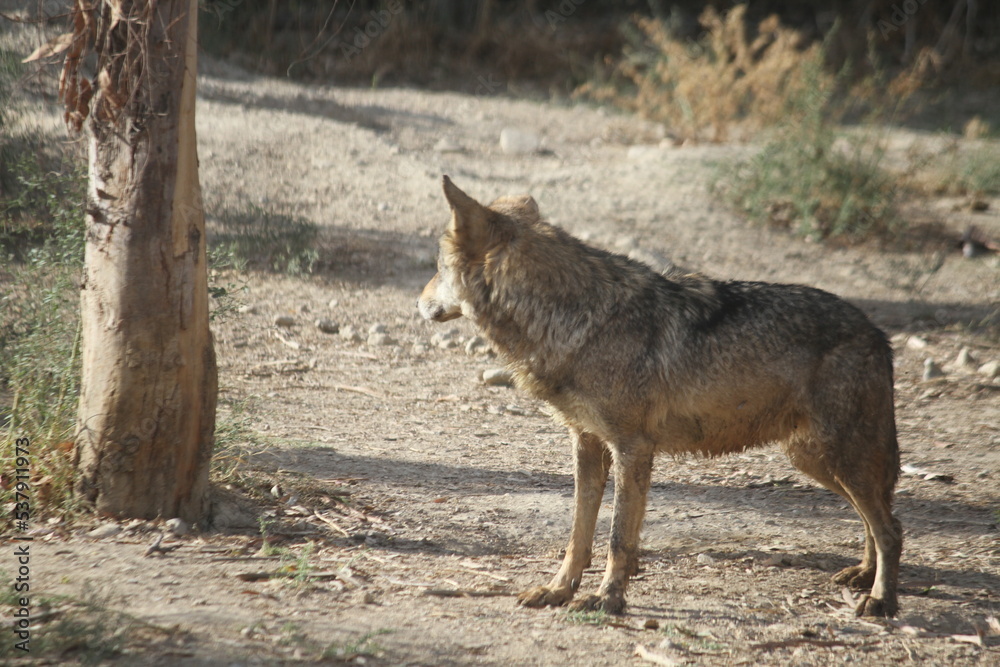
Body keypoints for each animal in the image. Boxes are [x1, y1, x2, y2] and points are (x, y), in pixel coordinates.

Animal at [418, 176, 902, 617]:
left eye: (437, 266)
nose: (417, 303)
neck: (577, 319)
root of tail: (877, 333)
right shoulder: (588, 444)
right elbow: (579, 535)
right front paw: (558, 590)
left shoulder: (632, 447)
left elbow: (617, 537)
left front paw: (607, 599)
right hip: (815, 459)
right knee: (878, 517)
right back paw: (862, 574)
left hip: (834, 458)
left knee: (890, 527)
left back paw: (880, 600)